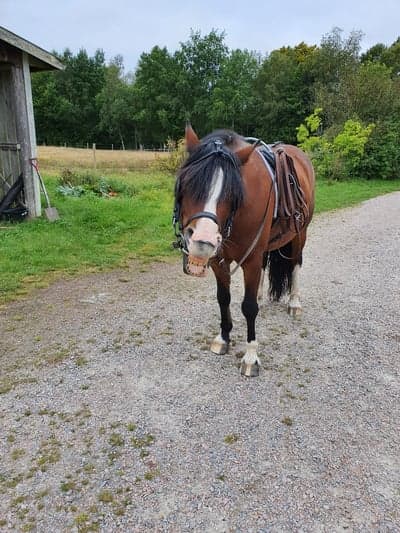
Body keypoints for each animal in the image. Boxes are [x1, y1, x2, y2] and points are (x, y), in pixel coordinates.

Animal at [173, 124, 314, 376]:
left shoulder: (251, 259)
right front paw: (223, 338)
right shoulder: (218, 260)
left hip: (300, 235)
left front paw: (250, 357)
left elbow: (248, 308)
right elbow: (223, 298)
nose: (202, 241)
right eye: (187, 183)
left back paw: (294, 303)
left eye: (233, 193)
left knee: (296, 264)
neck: (236, 216)